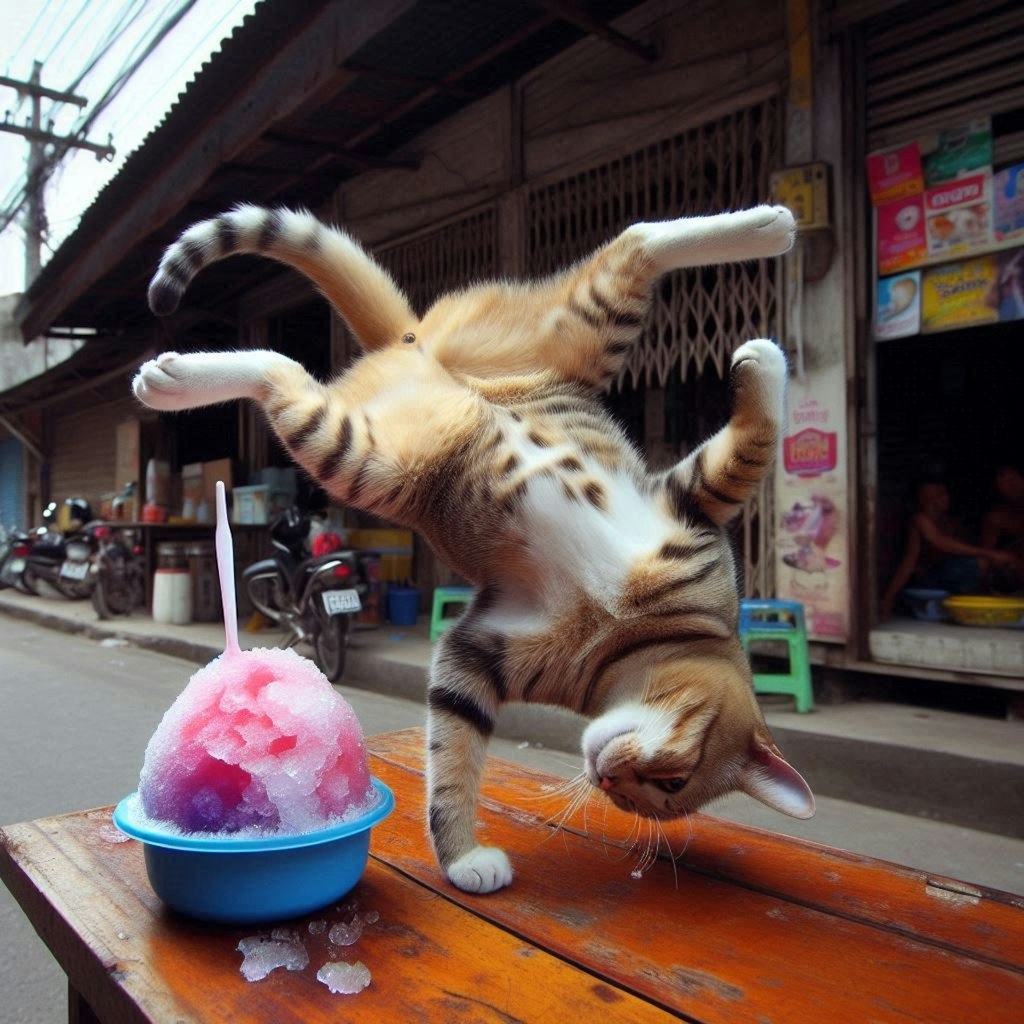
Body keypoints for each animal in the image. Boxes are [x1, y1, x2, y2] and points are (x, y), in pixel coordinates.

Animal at [134, 197, 815, 888]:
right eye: (673, 780)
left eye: (650, 797)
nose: (606, 778)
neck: (632, 634)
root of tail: (416, 351)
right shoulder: (694, 503)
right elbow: (754, 443)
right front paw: (767, 366)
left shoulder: (474, 659)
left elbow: (450, 758)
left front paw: (461, 857)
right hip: (551, 351)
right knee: (637, 240)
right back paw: (770, 228)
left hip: (383, 450)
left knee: (291, 372)